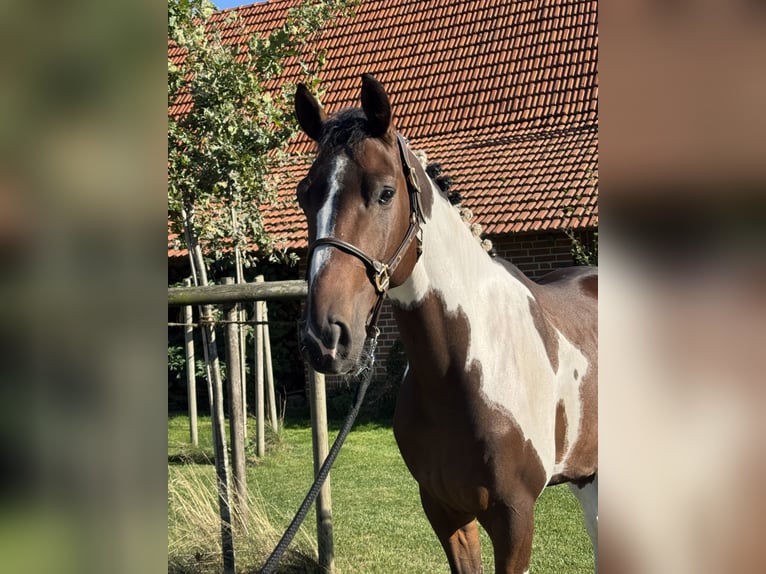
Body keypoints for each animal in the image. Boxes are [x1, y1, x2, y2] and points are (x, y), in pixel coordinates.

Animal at [294, 74, 598, 574]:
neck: (468, 366)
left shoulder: (515, 518)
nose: (326, 338)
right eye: (305, 195)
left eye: (385, 192)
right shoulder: (444, 510)